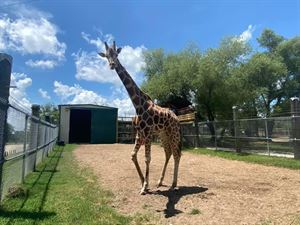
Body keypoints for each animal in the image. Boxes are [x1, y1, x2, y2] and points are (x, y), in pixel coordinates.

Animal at [99, 41, 180, 194]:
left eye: (116, 54)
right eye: (106, 56)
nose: (112, 65)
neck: (137, 104)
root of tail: (177, 118)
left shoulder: (147, 133)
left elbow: (147, 158)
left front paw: (144, 186)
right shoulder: (139, 133)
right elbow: (133, 155)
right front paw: (144, 183)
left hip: (173, 133)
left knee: (177, 154)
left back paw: (173, 184)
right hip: (163, 134)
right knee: (168, 153)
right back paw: (160, 181)